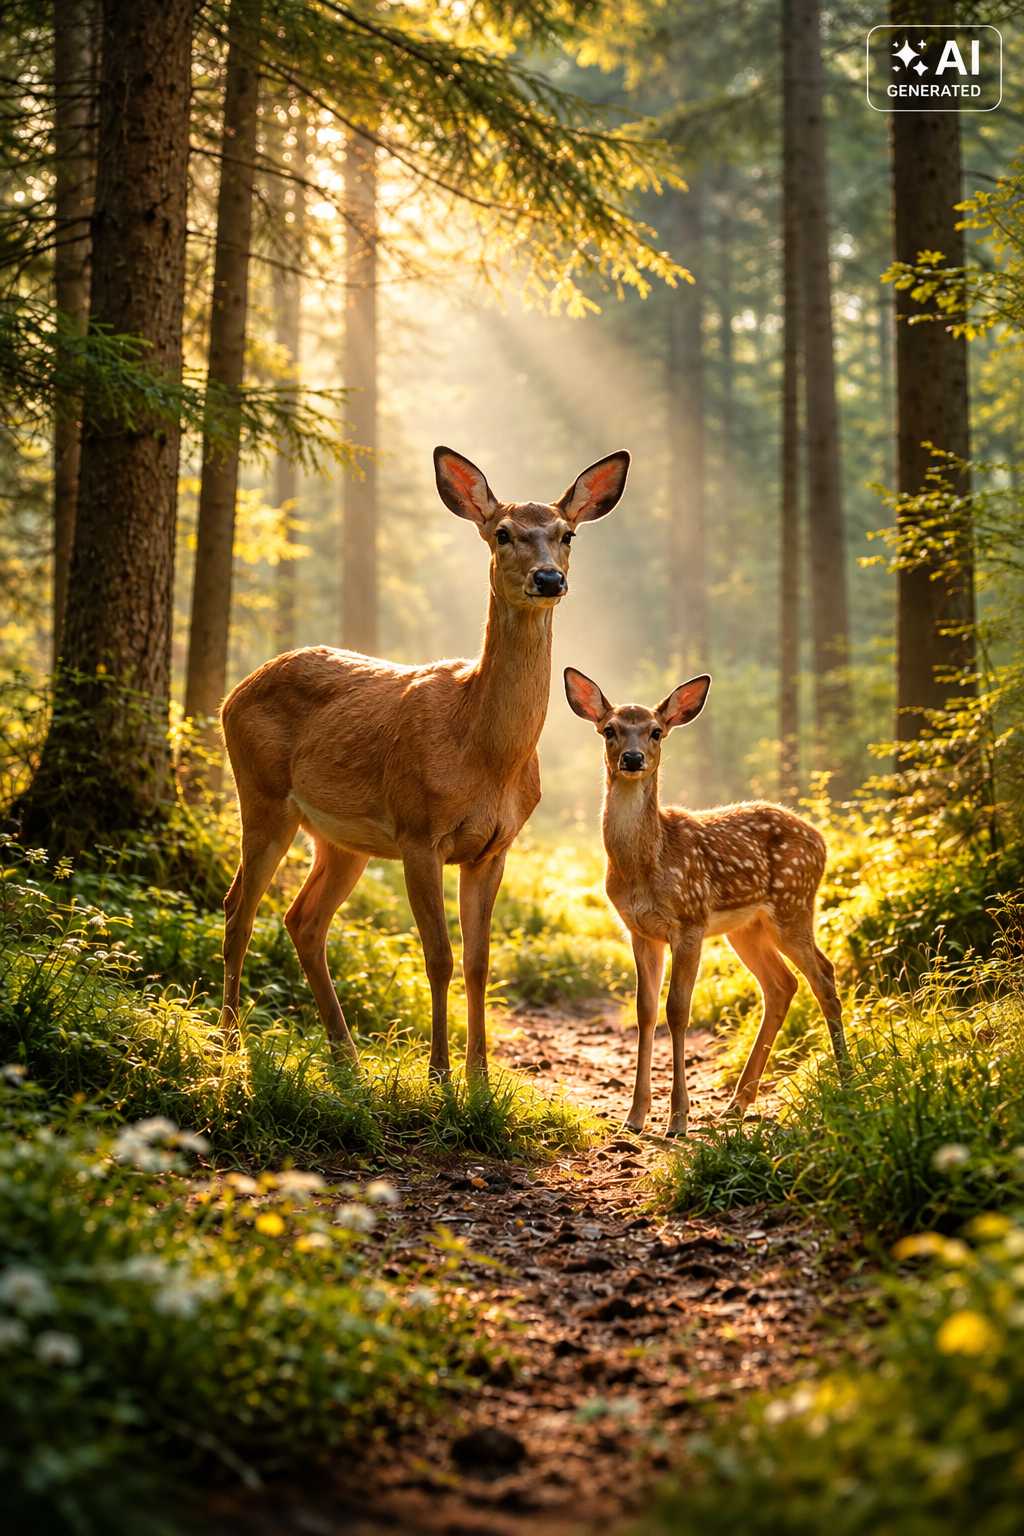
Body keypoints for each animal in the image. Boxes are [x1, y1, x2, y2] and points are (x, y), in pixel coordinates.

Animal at [219, 446, 630, 1081]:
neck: (485, 753)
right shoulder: (418, 831)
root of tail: (233, 694)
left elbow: (481, 961)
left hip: (341, 839)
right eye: (502, 533)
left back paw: (346, 1056)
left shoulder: (495, 847)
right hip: (261, 794)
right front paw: (439, 1073)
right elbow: (438, 957)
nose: (549, 578)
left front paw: (479, 1074)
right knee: (239, 908)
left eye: (568, 534)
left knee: (302, 919)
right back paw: (231, 1043)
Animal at [563, 667, 849, 1136]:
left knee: (823, 975)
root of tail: (822, 840)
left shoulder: (690, 920)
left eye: (656, 731)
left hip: (794, 904)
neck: (648, 864)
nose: (633, 759)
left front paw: (678, 1118)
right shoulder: (640, 930)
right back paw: (737, 1103)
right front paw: (635, 1116)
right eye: (610, 730)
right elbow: (645, 1011)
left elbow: (678, 1010)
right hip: (747, 928)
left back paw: (848, 1081)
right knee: (781, 985)